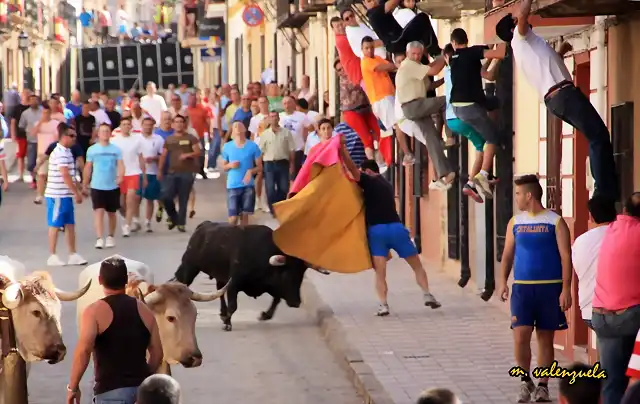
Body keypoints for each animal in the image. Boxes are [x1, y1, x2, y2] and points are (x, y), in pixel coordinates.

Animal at [172, 221, 328, 332]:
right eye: (286, 274)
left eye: (301, 274)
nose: (296, 302)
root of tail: (203, 225)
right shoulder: (234, 284)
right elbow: (233, 306)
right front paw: (227, 323)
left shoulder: (269, 286)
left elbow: (276, 300)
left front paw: (265, 315)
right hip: (189, 268)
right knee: (182, 283)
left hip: (219, 277)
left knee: (219, 291)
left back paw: (222, 313)